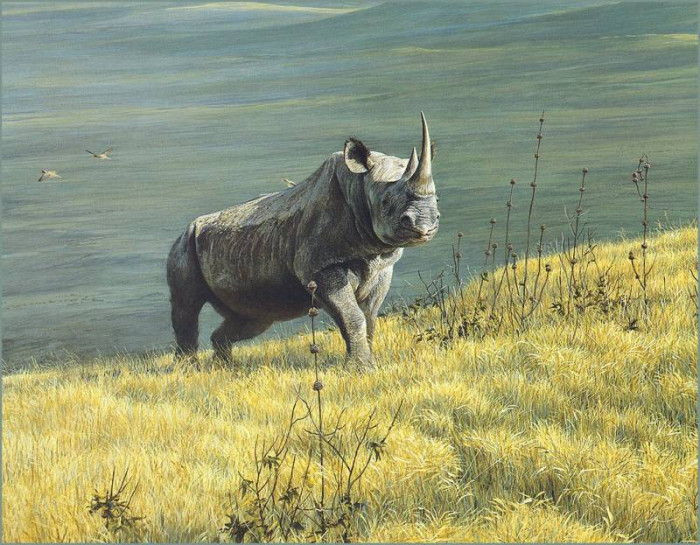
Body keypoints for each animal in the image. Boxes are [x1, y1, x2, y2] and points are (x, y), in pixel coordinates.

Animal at [167, 113, 440, 367]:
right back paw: (188, 371)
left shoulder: (382, 266)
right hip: (184, 244)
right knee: (186, 307)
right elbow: (353, 317)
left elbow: (370, 317)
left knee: (254, 318)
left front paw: (370, 363)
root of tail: (188, 228)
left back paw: (225, 369)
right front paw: (361, 369)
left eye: (436, 199)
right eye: (385, 202)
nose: (425, 225)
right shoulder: (319, 267)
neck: (359, 186)